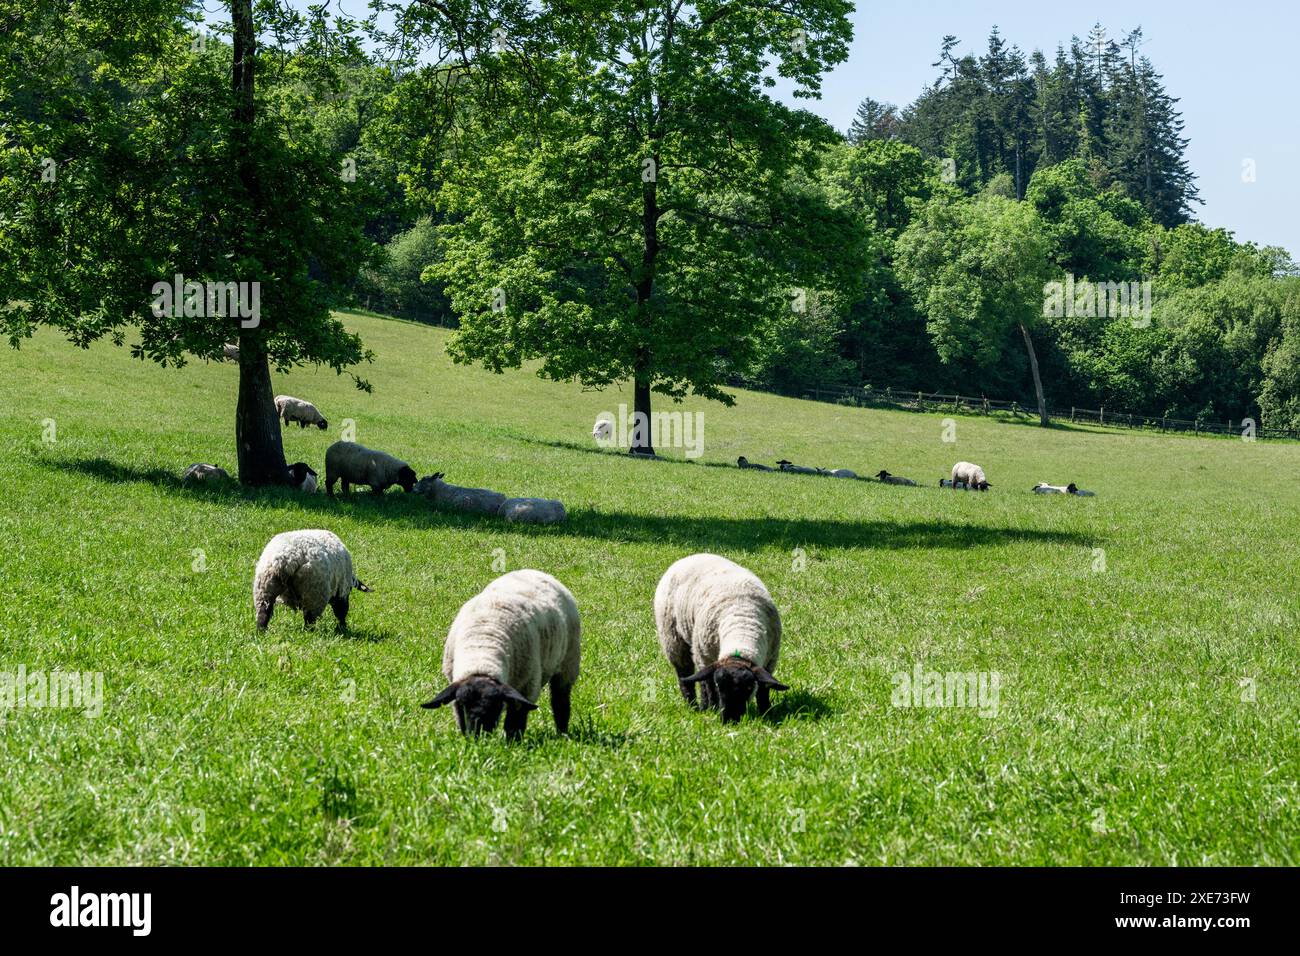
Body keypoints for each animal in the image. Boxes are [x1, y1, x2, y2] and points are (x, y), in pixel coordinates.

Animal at [421, 567, 579, 738]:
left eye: (496, 707)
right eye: (464, 705)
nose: (479, 736)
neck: (482, 651)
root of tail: (533, 570)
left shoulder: (526, 688)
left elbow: (514, 723)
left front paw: (513, 742)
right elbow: (461, 721)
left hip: (568, 664)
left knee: (560, 702)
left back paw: (562, 734)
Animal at [655, 554, 785, 723]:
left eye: (749, 687)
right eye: (719, 686)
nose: (730, 719)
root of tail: (691, 556)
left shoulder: (770, 661)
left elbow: (764, 689)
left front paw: (766, 712)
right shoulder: (705, 657)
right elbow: (709, 686)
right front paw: (712, 708)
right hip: (674, 640)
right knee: (686, 676)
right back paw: (695, 706)